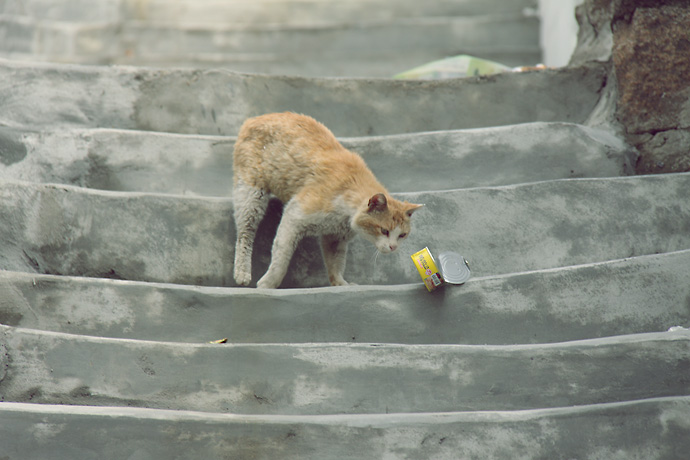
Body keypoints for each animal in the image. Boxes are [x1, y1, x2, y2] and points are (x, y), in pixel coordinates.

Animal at [234, 111, 422, 288]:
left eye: (402, 235)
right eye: (384, 231)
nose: (393, 247)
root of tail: (254, 119)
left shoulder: (335, 238)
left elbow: (335, 264)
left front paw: (340, 283)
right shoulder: (294, 214)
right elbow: (281, 257)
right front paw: (267, 284)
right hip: (251, 196)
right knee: (244, 234)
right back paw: (242, 274)